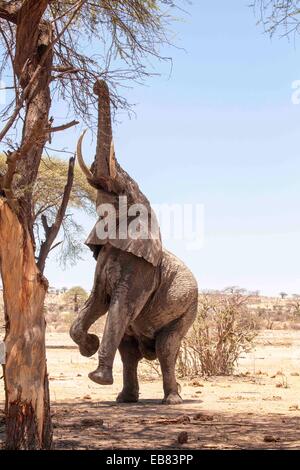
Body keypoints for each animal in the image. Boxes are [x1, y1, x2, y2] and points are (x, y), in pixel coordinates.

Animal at [69, 81, 198, 404]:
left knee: (166, 348)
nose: (98, 83)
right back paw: (126, 399)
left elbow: (119, 305)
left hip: (188, 309)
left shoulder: (142, 270)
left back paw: (171, 400)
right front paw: (88, 344)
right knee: (129, 350)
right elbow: (97, 300)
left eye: (126, 188)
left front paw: (96, 376)